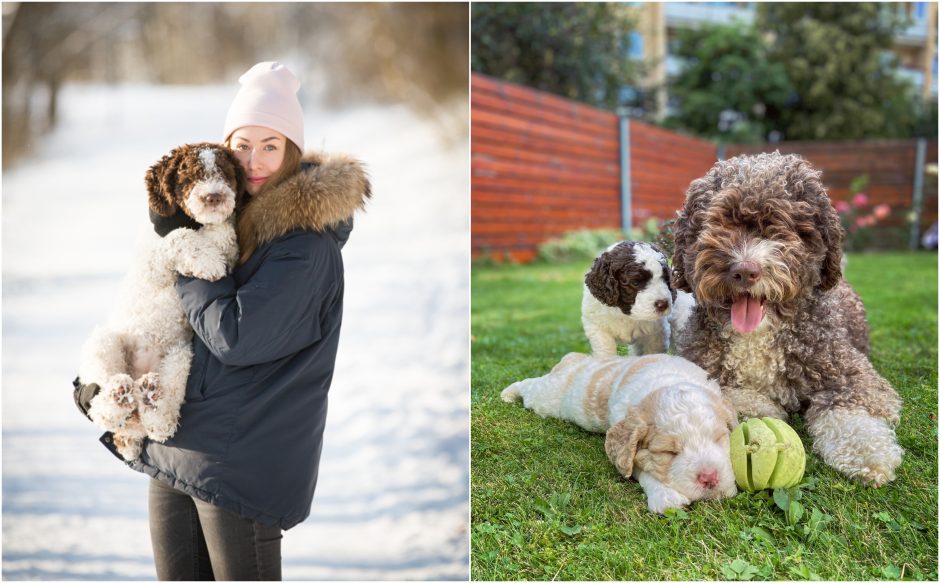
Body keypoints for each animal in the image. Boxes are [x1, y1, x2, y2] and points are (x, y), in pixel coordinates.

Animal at [77, 143, 244, 460]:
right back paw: (119, 396)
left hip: (180, 356)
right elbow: (180, 236)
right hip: (103, 342)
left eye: (225, 173)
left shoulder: (228, 248)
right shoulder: (154, 257)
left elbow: (223, 235)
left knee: (158, 413)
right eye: (191, 176)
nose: (213, 197)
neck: (196, 223)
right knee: (103, 405)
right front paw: (207, 261)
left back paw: (154, 404)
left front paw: (214, 250)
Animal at [504, 354, 740, 512]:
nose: (709, 478)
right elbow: (643, 471)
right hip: (548, 398)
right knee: (530, 385)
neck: (668, 380)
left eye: (719, 438)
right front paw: (665, 496)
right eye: (669, 452)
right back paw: (507, 393)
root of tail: (575, 358)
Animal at [668, 148, 904, 486]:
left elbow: (851, 412)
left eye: (781, 227)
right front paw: (764, 408)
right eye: (718, 223)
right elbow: (725, 393)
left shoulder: (851, 375)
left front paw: (867, 454)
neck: (757, 336)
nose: (745, 270)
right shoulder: (699, 363)